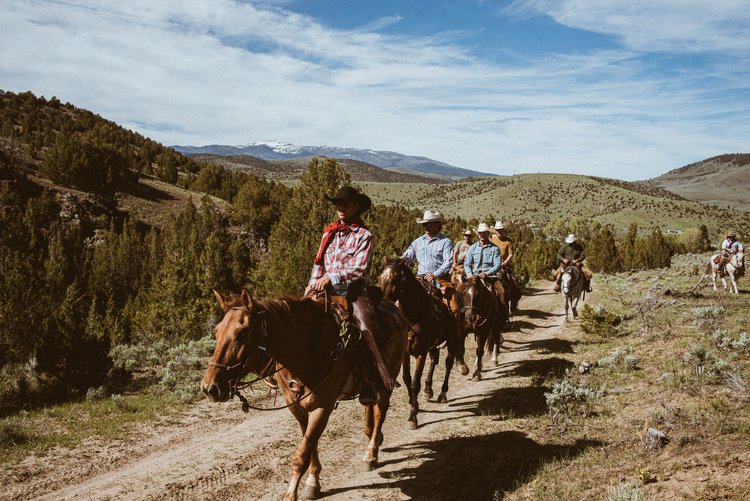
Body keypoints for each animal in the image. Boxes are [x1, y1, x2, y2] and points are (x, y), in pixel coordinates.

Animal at [203, 290, 408, 500]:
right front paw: (313, 482)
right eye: (217, 332)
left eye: (242, 333)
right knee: (370, 405)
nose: (210, 388)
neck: (306, 350)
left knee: (380, 412)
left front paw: (291, 493)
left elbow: (302, 454)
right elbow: (310, 446)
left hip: (389, 378)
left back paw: (371, 453)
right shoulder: (297, 408)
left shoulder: (323, 407)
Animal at [382, 258, 464, 430]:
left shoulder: (420, 353)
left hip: (452, 339)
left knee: (448, 363)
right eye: (380, 277)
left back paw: (442, 393)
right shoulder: (406, 353)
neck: (413, 317)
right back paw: (428, 389)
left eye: (394, 279)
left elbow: (414, 383)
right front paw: (414, 403)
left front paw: (413, 416)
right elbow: (407, 378)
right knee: (434, 359)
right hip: (433, 344)